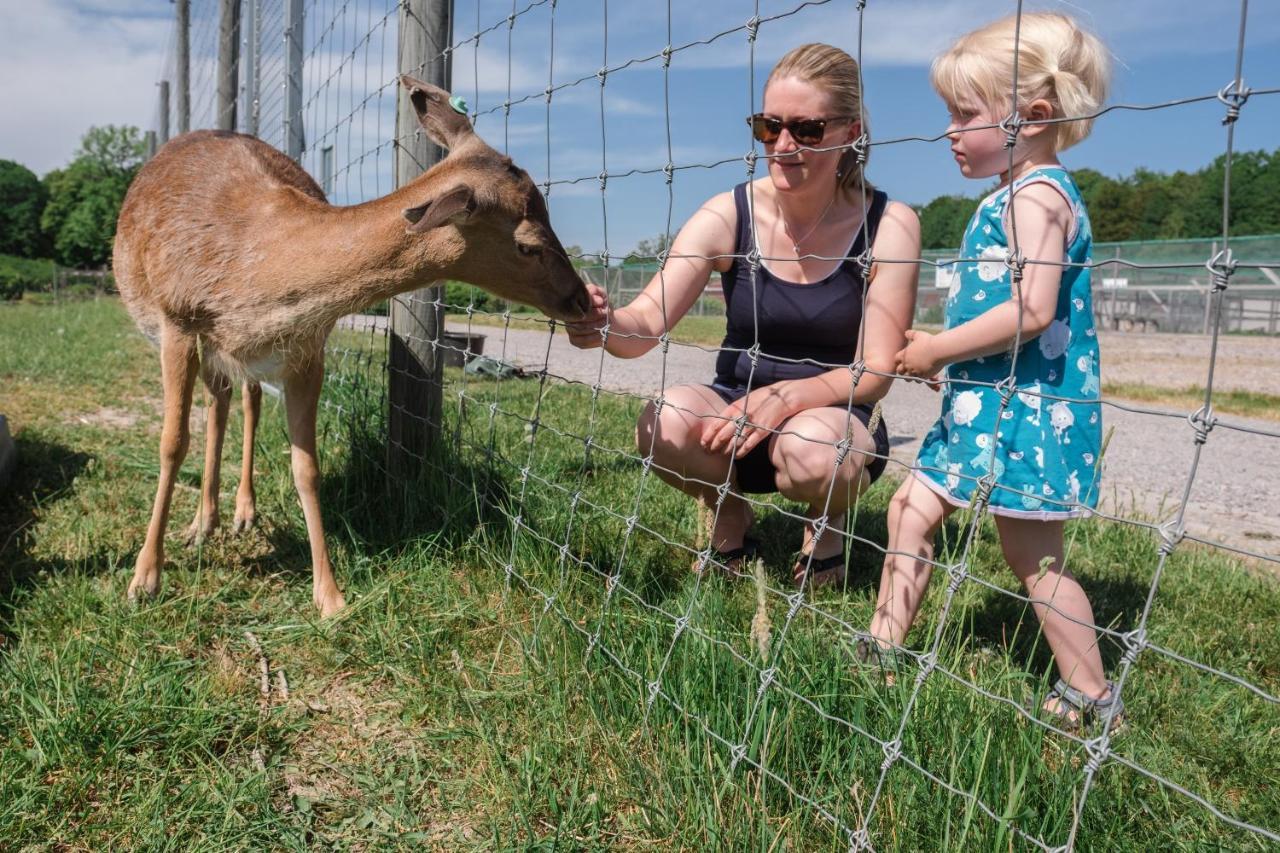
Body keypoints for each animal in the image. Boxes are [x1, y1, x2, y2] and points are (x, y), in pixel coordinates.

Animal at [112, 76, 586, 614]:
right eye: (528, 244)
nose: (582, 298)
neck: (245, 271)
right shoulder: (177, 320)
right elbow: (171, 443)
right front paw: (144, 577)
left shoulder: (306, 349)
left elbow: (306, 466)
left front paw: (330, 596)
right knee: (221, 404)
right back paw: (200, 525)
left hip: (236, 358)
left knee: (237, 400)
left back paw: (236, 513)